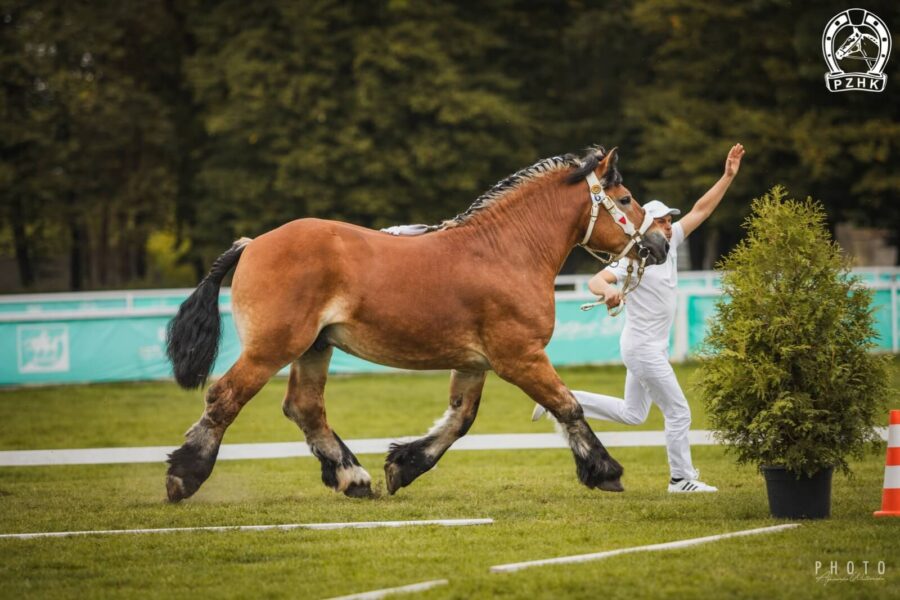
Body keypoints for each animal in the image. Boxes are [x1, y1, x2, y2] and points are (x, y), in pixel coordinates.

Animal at [165, 146, 668, 502]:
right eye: (625, 199)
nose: (660, 246)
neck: (505, 252)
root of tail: (253, 243)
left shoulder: (475, 363)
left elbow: (460, 420)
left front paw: (402, 465)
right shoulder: (519, 357)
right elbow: (568, 407)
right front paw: (605, 471)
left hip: (314, 348)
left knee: (305, 408)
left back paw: (354, 477)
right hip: (272, 348)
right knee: (225, 396)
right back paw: (184, 476)